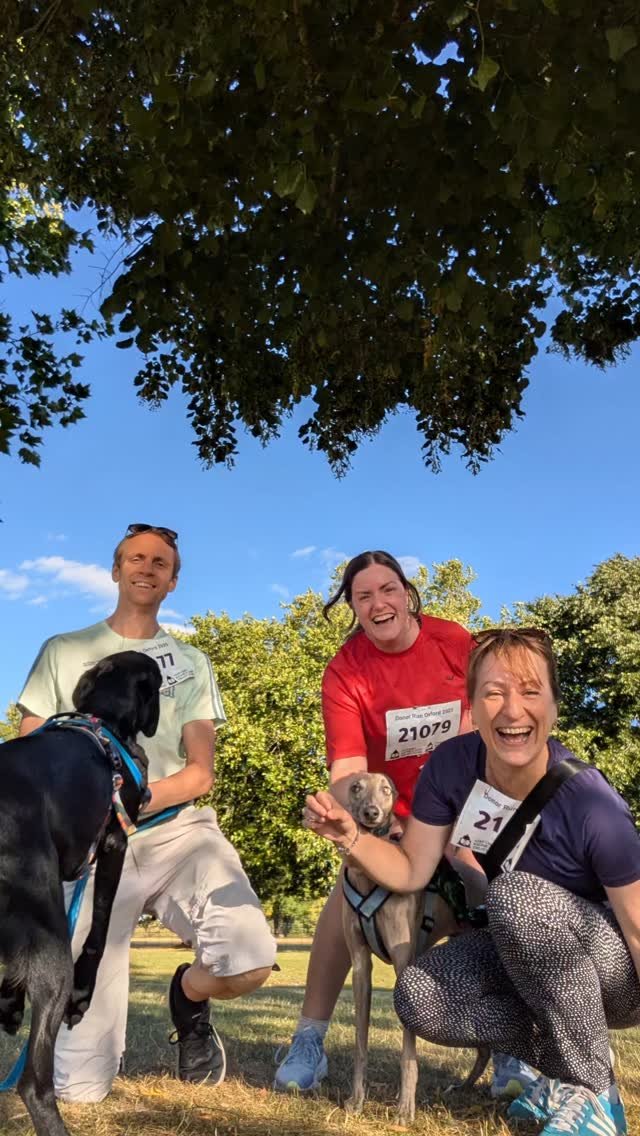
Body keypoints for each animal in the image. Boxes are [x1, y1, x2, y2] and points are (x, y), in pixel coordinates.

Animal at [0, 650, 161, 1136]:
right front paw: (83, 996)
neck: (103, 719)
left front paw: (9, 1003)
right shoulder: (115, 841)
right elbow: (100, 929)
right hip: (53, 943)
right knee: (34, 1084)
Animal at [342, 772, 490, 1124]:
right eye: (356, 787)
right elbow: (360, 1041)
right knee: (485, 1046)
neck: (369, 876)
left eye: (386, 790)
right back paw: (464, 1087)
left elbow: (408, 1052)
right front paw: (356, 1100)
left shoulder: (402, 964)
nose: (372, 813)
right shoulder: (360, 967)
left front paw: (405, 1108)